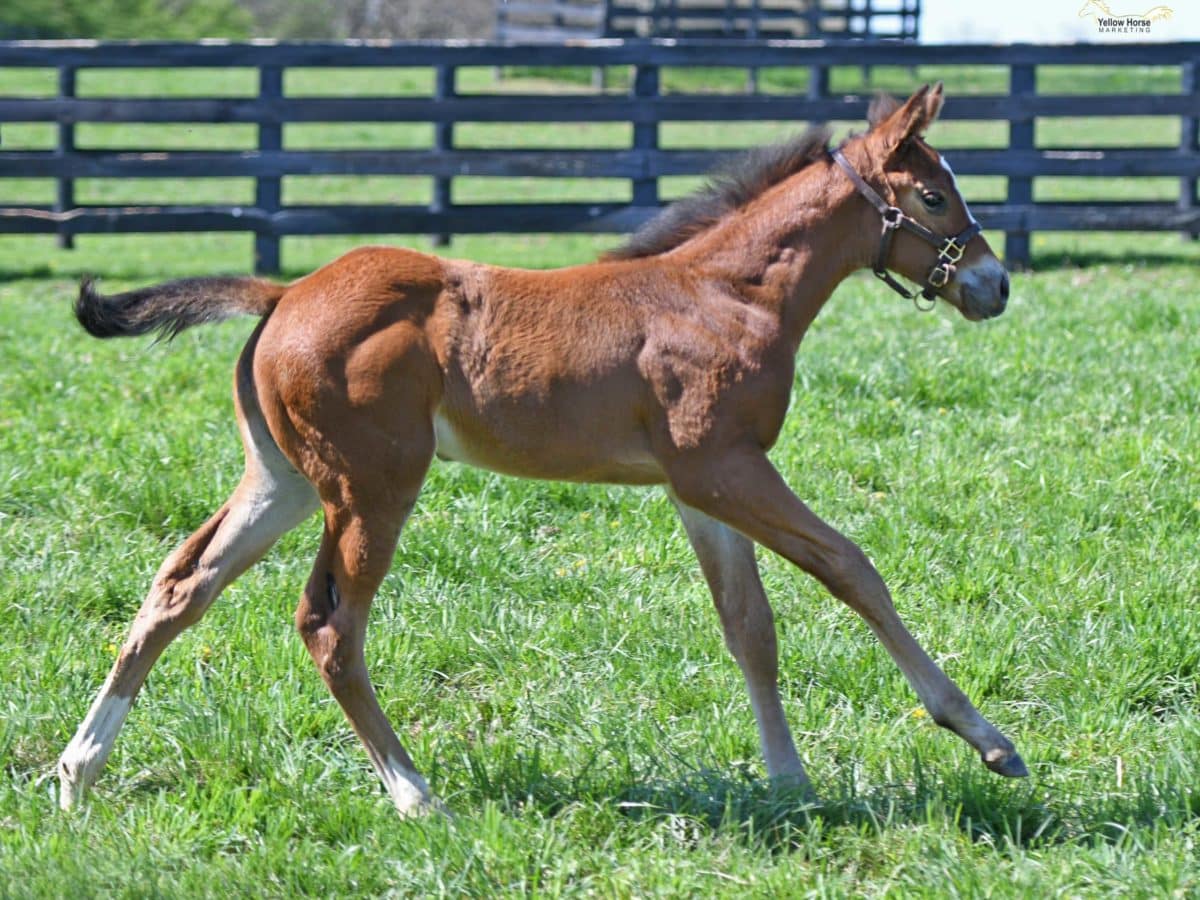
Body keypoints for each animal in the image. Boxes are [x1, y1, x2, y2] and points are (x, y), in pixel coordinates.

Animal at [60, 86, 1027, 816]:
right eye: (934, 196)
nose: (995, 284)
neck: (725, 295)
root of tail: (283, 292)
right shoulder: (724, 467)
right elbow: (850, 566)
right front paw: (985, 738)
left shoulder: (700, 486)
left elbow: (750, 625)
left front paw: (789, 783)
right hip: (373, 486)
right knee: (329, 626)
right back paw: (415, 794)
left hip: (285, 481)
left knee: (180, 587)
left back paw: (77, 772)